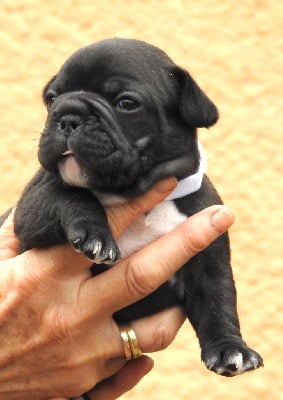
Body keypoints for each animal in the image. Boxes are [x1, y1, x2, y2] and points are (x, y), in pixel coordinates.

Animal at [7, 39, 264, 376]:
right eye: (51, 99)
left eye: (126, 103)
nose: (67, 116)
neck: (128, 194)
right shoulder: (30, 208)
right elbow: (68, 194)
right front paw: (96, 235)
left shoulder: (207, 251)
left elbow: (218, 299)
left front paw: (231, 348)